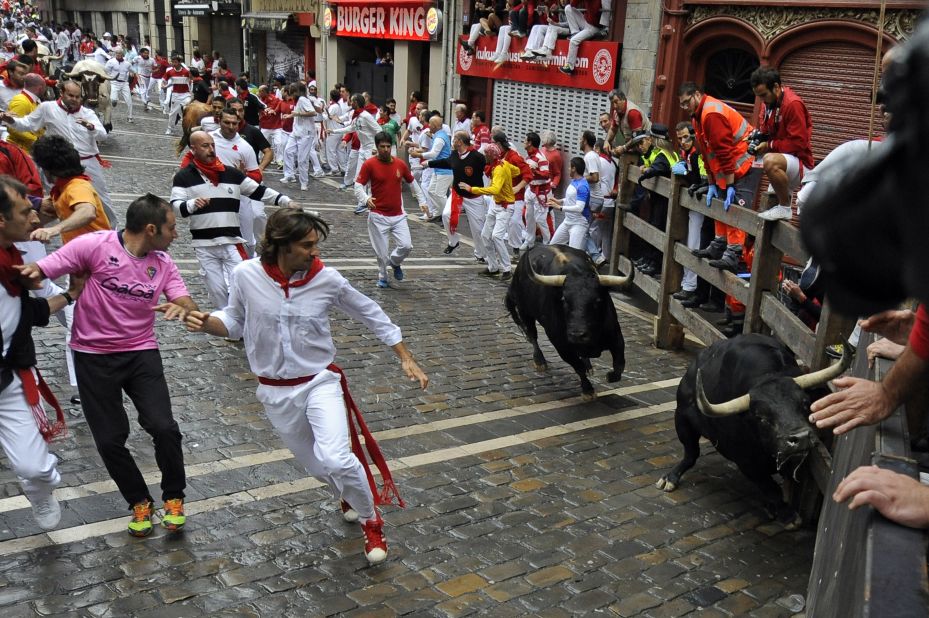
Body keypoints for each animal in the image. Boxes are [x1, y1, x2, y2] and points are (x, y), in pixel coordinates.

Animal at [508, 243, 632, 398]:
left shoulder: (616, 337)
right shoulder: (562, 346)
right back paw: (540, 361)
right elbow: (577, 367)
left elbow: (620, 364)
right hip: (525, 312)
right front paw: (588, 390)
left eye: (598, 300)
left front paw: (610, 376)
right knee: (532, 336)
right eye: (564, 300)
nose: (577, 335)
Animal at [652, 332, 848, 524]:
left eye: (805, 404)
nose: (801, 438)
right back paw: (670, 478)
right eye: (761, 417)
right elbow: (771, 487)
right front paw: (787, 514)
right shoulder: (745, 460)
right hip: (682, 419)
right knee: (691, 453)